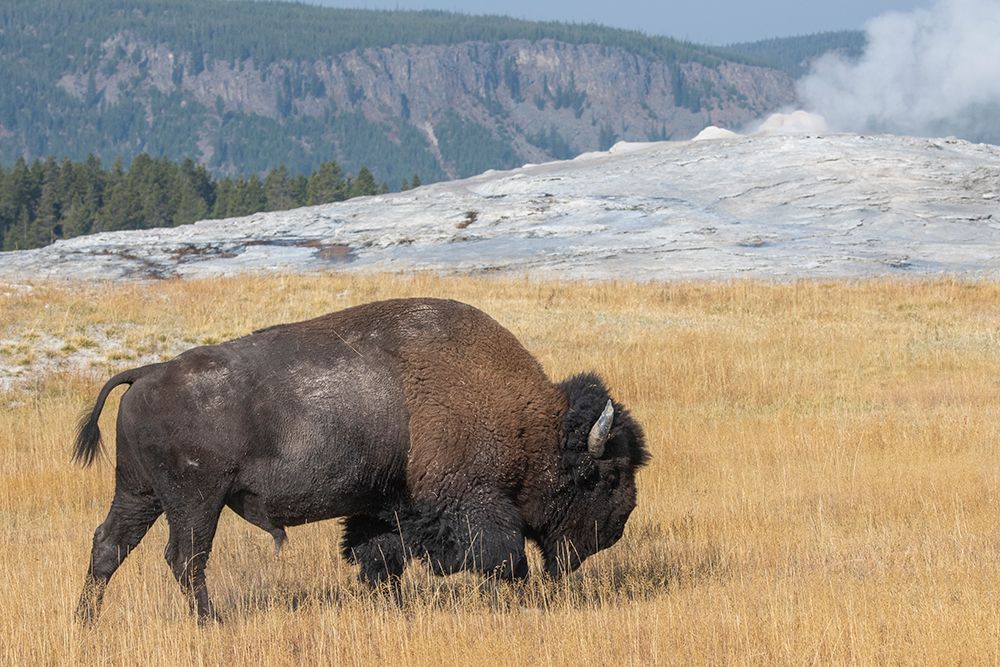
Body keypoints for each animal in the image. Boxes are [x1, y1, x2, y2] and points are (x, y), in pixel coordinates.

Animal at [74, 297, 648, 623]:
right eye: (606, 475)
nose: (616, 528)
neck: (530, 423)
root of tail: (146, 372)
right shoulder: (469, 503)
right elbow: (503, 557)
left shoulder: (383, 506)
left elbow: (380, 558)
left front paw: (393, 606)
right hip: (195, 502)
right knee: (185, 559)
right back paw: (210, 622)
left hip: (140, 493)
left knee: (109, 545)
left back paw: (86, 621)